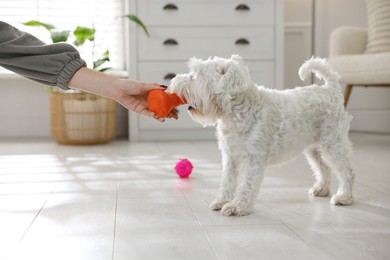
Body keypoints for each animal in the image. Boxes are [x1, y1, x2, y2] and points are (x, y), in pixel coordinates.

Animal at [169, 55, 354, 216]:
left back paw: (344, 197)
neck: (239, 112)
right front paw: (221, 202)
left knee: (347, 171)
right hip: (314, 148)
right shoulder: (230, 157)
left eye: (195, 75)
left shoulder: (253, 158)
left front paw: (237, 207)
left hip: (333, 144)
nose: (172, 82)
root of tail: (331, 89)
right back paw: (321, 190)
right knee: (323, 168)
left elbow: (247, 184)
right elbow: (227, 182)